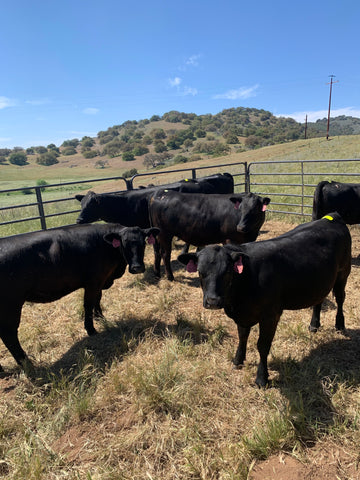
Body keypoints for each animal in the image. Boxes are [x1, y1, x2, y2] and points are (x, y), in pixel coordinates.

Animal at [0, 223, 159, 370]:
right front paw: (91, 329)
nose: (137, 268)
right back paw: (26, 363)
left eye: (143, 243)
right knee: (8, 334)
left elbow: (98, 299)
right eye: (124, 243)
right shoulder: (94, 281)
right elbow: (88, 304)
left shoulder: (100, 281)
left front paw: (100, 317)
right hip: (11, 304)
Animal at [179, 213, 350, 386]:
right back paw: (314, 325)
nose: (213, 301)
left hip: (343, 273)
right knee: (319, 301)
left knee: (341, 299)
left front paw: (262, 377)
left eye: (227, 272)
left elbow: (263, 345)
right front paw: (238, 360)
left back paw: (340, 325)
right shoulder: (243, 315)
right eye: (200, 272)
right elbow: (242, 336)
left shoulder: (271, 315)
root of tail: (332, 217)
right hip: (320, 283)